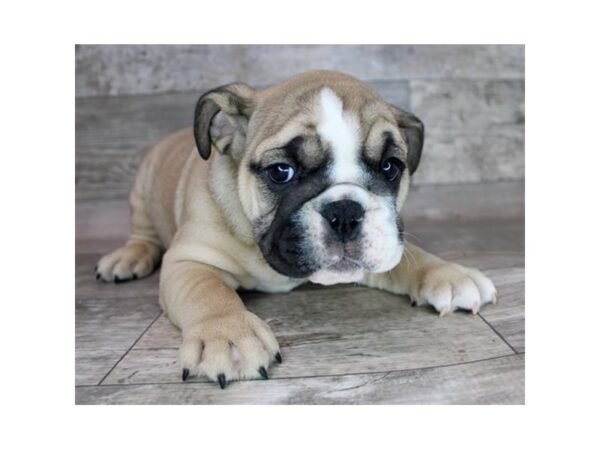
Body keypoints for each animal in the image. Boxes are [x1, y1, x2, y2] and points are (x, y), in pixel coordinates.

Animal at [95, 68, 496, 388]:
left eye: (390, 167)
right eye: (281, 172)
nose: (345, 212)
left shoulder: (384, 245)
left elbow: (410, 255)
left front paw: (449, 274)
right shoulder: (189, 259)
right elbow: (207, 291)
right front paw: (228, 335)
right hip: (142, 190)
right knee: (142, 234)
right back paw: (126, 259)